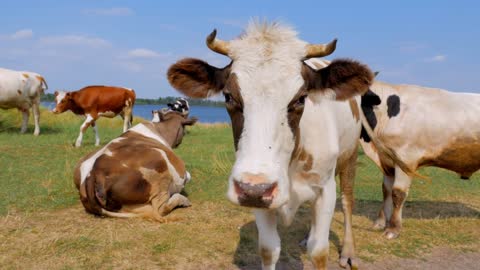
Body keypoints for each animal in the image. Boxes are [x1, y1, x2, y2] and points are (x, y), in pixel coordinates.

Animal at [166, 22, 412, 268]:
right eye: (228, 96)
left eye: (301, 98)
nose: (252, 189)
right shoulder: (262, 196)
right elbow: (268, 250)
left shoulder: (325, 190)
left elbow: (319, 251)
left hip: (349, 156)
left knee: (347, 201)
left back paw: (348, 251)